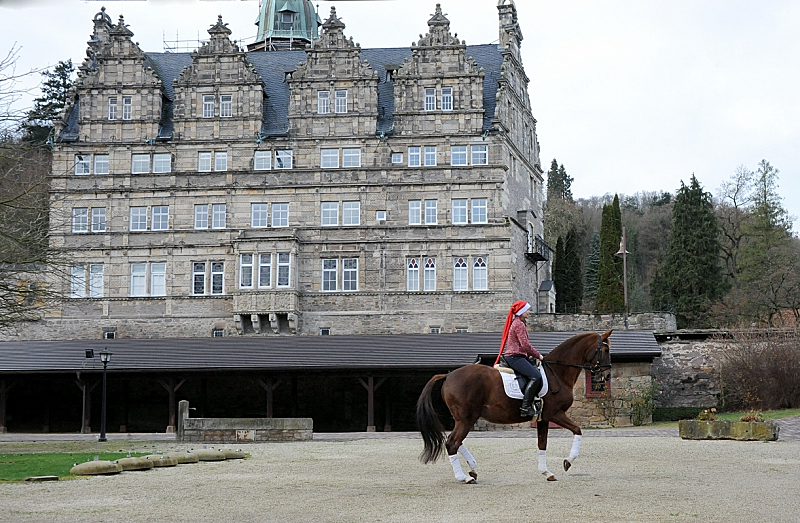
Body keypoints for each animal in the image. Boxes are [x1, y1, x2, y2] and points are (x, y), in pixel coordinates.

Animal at [416, 332, 608, 484]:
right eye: (605, 350)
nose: (606, 376)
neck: (557, 373)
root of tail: (448, 376)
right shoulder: (555, 414)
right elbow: (577, 430)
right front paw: (568, 462)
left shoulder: (543, 418)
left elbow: (542, 444)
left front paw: (547, 473)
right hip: (466, 419)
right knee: (452, 442)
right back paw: (464, 477)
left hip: (464, 419)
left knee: (455, 441)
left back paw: (473, 469)